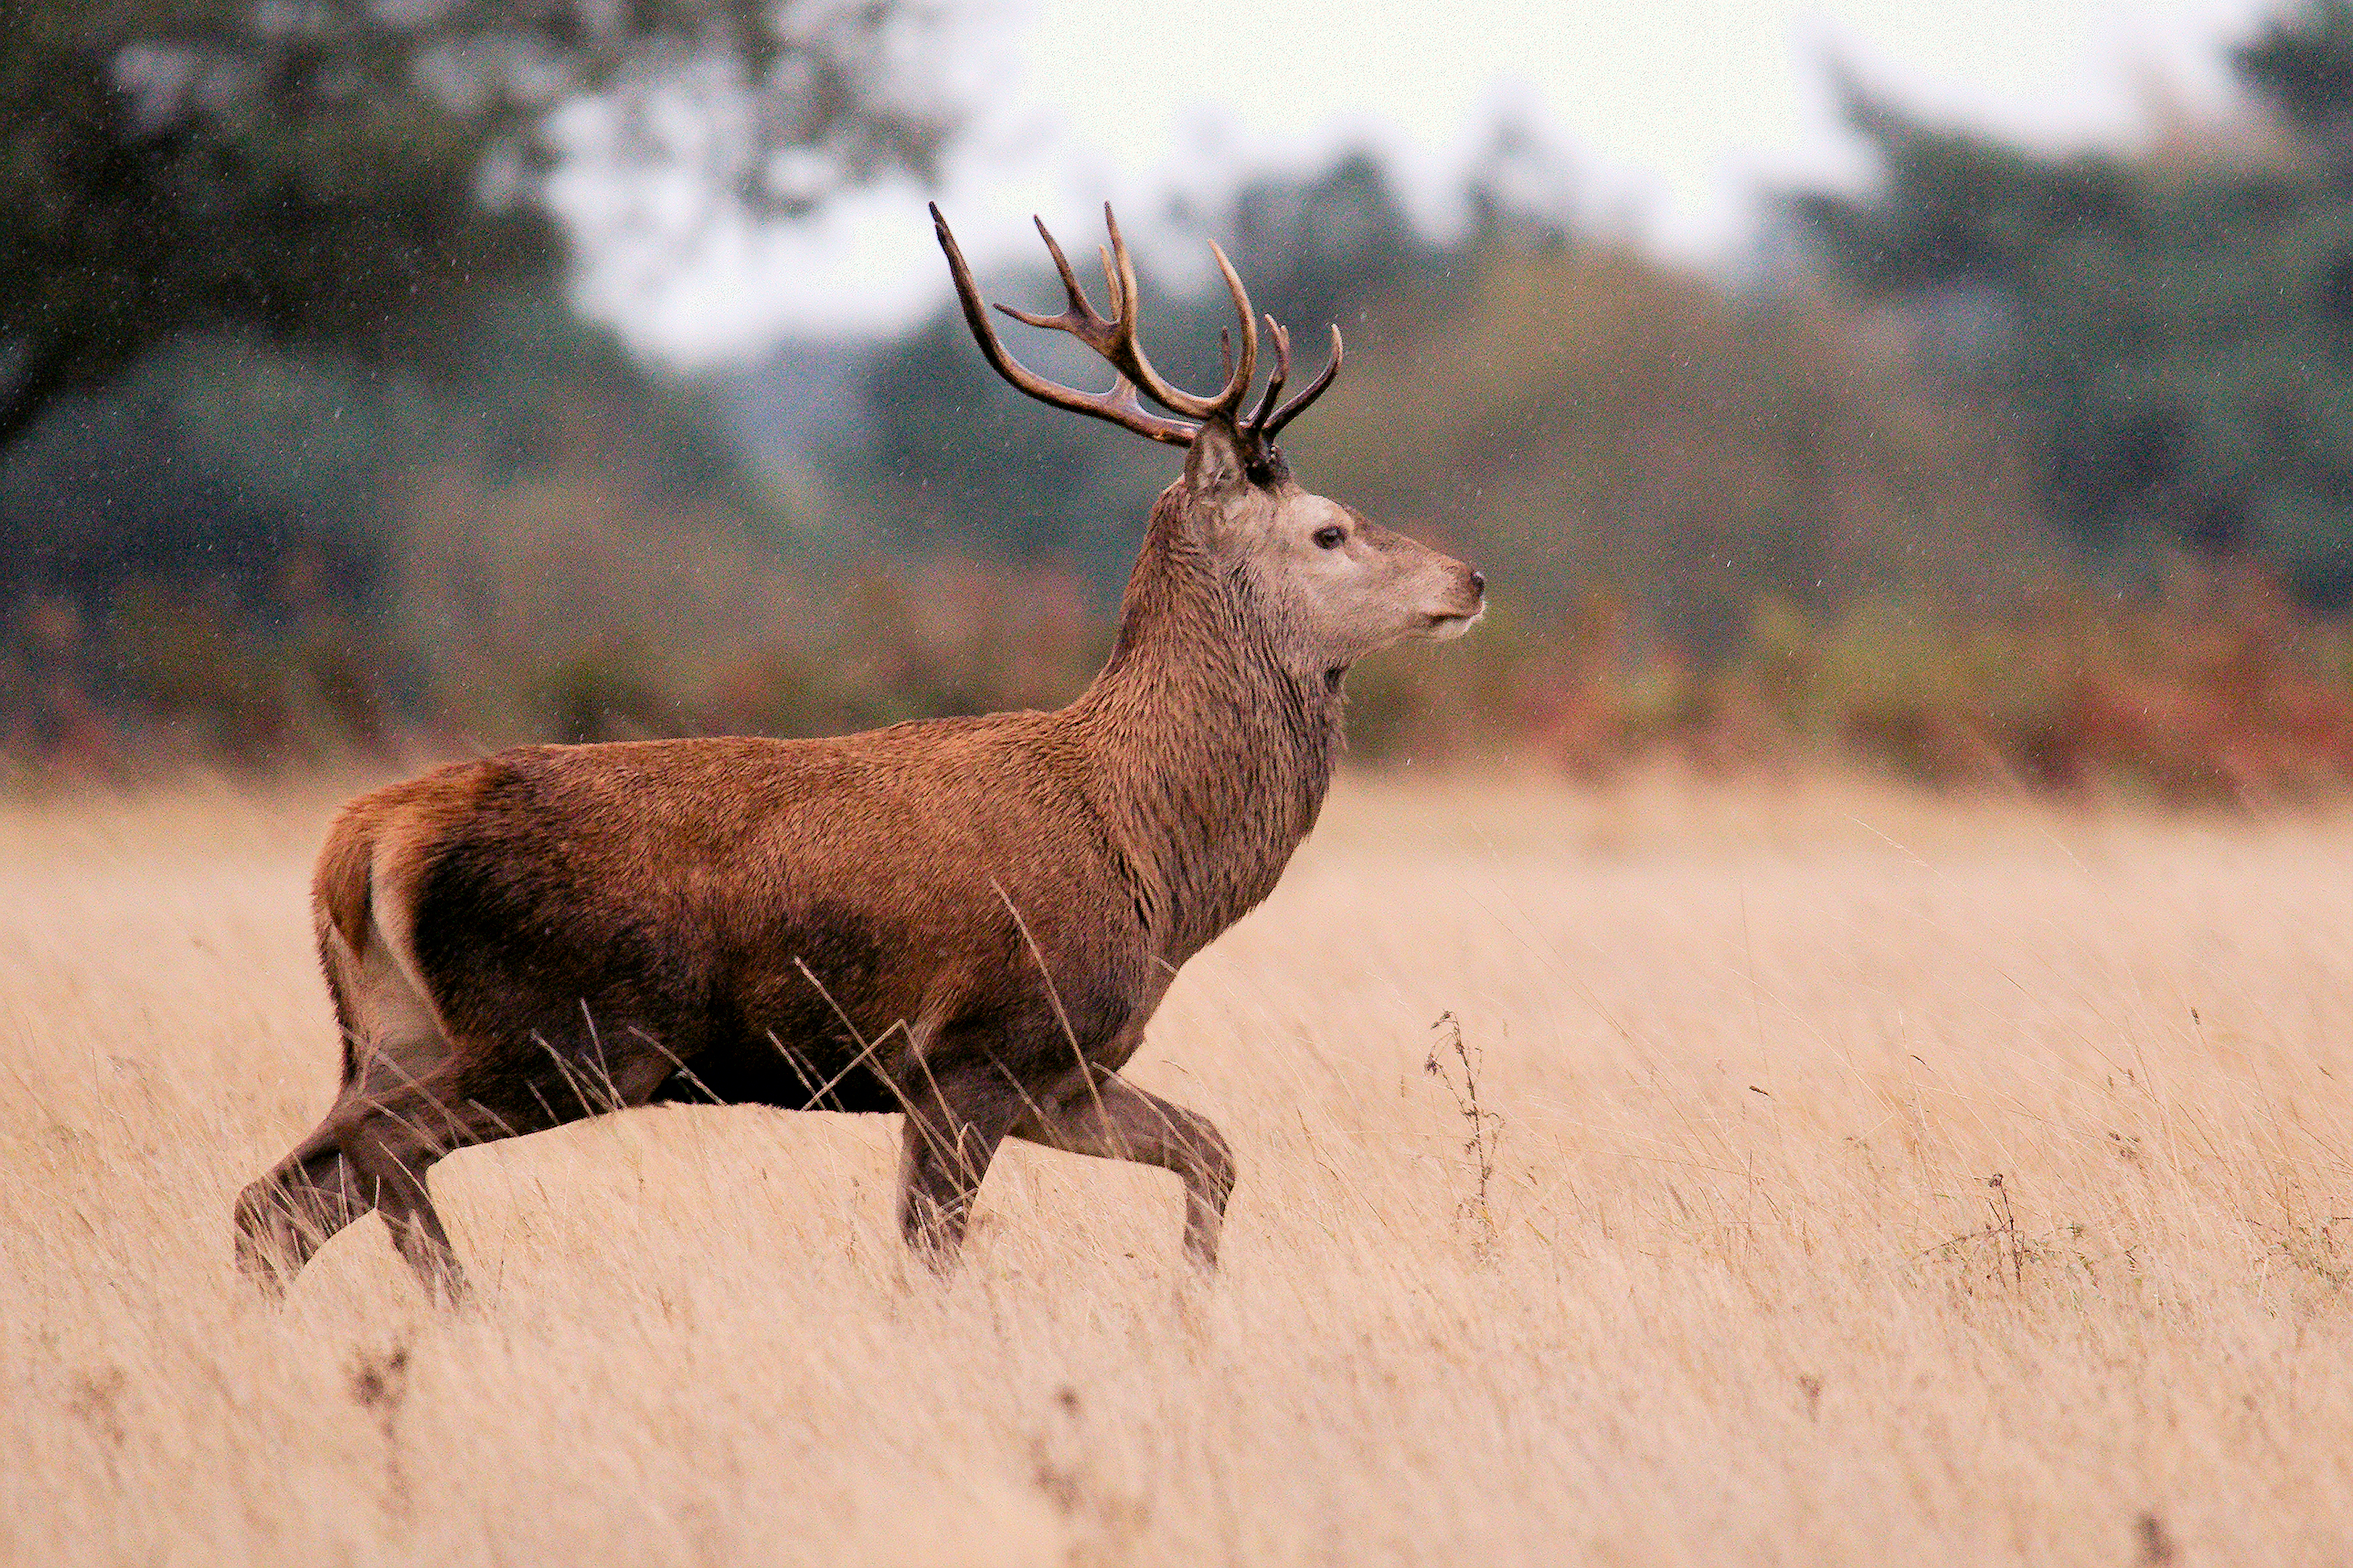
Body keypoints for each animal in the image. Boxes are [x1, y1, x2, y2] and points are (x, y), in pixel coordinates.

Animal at [239, 202, 1487, 1297]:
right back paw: (460, 1304)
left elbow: (1214, 1151)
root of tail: (360, 842)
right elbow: (932, 1255)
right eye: (1329, 530)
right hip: (564, 1031)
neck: (1151, 858)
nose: (1470, 578)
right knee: (370, 1162)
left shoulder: (1065, 1068)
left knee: (280, 1197)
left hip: (397, 1031)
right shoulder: (969, 1048)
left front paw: (1194, 1301)